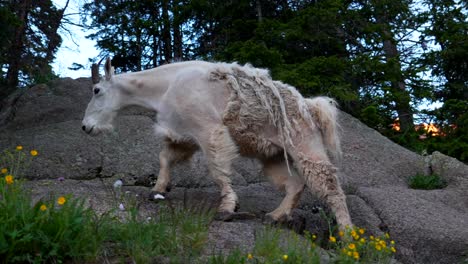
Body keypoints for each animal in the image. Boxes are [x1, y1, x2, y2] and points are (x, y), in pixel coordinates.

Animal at [82, 58, 352, 229]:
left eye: (96, 90)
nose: (85, 127)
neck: (166, 85)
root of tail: (312, 107)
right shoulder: (185, 134)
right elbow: (165, 157)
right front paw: (158, 189)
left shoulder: (208, 130)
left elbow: (218, 169)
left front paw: (227, 209)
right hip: (272, 155)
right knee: (295, 184)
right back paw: (275, 216)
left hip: (305, 143)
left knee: (330, 187)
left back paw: (347, 235)